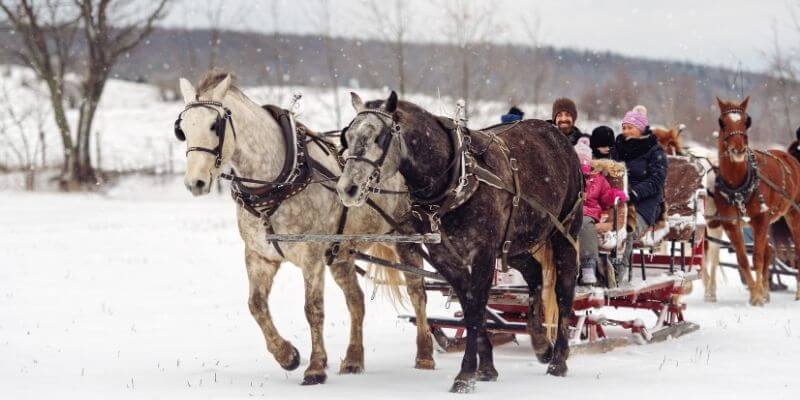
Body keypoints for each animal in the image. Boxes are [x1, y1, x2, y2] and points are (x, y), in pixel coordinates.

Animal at [177, 71, 438, 384]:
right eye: (182, 128)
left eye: (214, 125)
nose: (195, 182)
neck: (277, 182)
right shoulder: (259, 255)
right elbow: (256, 305)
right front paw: (287, 355)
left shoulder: (311, 255)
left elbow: (313, 308)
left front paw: (315, 367)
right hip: (342, 253)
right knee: (356, 300)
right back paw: (353, 359)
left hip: (404, 237)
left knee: (417, 291)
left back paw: (424, 354)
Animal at [712, 98, 800, 304]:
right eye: (722, 123)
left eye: (747, 121)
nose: (738, 149)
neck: (738, 186)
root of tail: (789, 156)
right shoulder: (732, 224)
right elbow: (743, 259)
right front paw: (756, 293)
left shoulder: (760, 220)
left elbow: (758, 258)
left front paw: (758, 297)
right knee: (769, 252)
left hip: (793, 214)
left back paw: (797, 293)